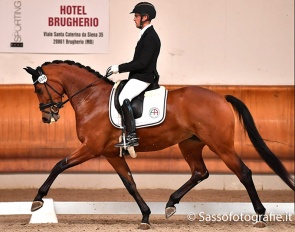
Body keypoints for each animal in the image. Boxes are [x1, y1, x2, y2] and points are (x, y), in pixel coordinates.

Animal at [24, 59, 294, 228]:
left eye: (38, 89)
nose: (47, 117)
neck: (92, 99)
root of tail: (221, 97)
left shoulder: (91, 148)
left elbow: (59, 165)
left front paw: (38, 200)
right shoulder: (110, 153)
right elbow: (130, 184)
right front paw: (145, 216)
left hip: (221, 145)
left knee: (244, 172)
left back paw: (260, 215)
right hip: (190, 144)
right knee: (200, 172)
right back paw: (171, 204)